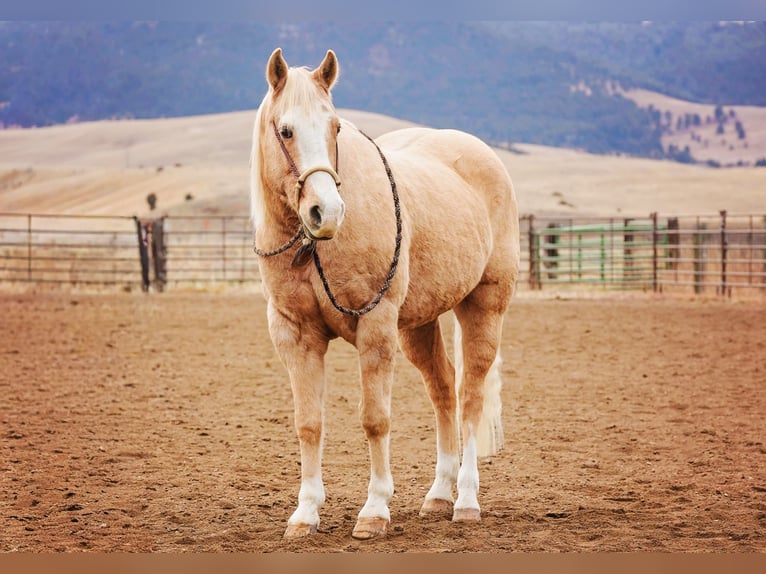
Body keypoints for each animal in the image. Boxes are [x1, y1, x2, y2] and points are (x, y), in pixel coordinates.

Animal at [250, 48, 520, 540]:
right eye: (286, 130)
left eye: (335, 127)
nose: (326, 212)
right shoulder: (295, 335)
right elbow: (308, 424)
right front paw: (305, 513)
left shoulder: (375, 327)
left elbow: (375, 420)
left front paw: (374, 509)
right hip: (418, 325)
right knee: (443, 390)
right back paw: (438, 495)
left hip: (483, 307)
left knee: (469, 395)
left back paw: (466, 501)